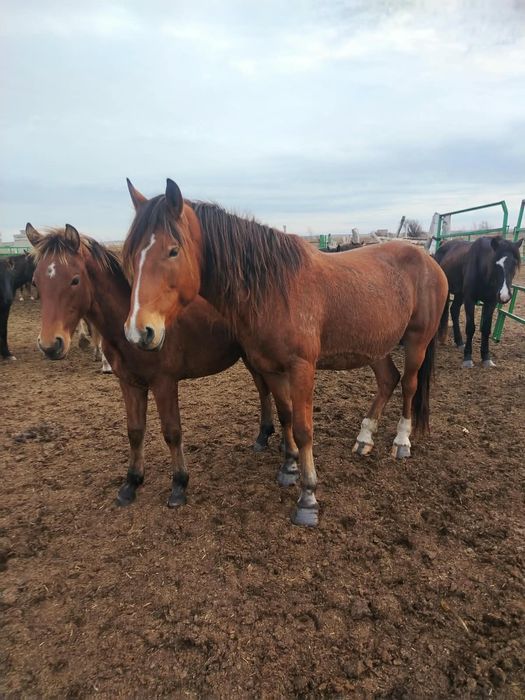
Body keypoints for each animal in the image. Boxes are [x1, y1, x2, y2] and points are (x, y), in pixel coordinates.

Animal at [26, 223, 286, 508]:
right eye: (36, 282)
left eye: (74, 280)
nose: (50, 345)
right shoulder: (129, 383)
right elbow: (135, 431)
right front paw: (131, 483)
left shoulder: (164, 383)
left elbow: (172, 432)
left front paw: (179, 485)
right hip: (250, 356)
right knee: (263, 390)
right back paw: (263, 437)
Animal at [120, 179, 449, 527]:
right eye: (132, 254)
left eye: (173, 250)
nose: (139, 331)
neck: (274, 289)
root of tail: (429, 260)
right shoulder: (271, 368)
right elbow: (286, 415)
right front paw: (289, 467)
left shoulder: (301, 368)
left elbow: (304, 430)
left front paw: (308, 497)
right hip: (376, 346)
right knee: (388, 380)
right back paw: (364, 438)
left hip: (417, 342)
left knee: (410, 384)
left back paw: (402, 441)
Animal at [434, 236, 522, 368]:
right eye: (496, 264)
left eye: (515, 263)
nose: (504, 295)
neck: (482, 268)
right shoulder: (470, 299)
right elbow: (470, 328)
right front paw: (467, 358)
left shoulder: (491, 302)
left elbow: (486, 329)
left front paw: (486, 358)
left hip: (460, 294)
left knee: (454, 310)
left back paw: (459, 342)